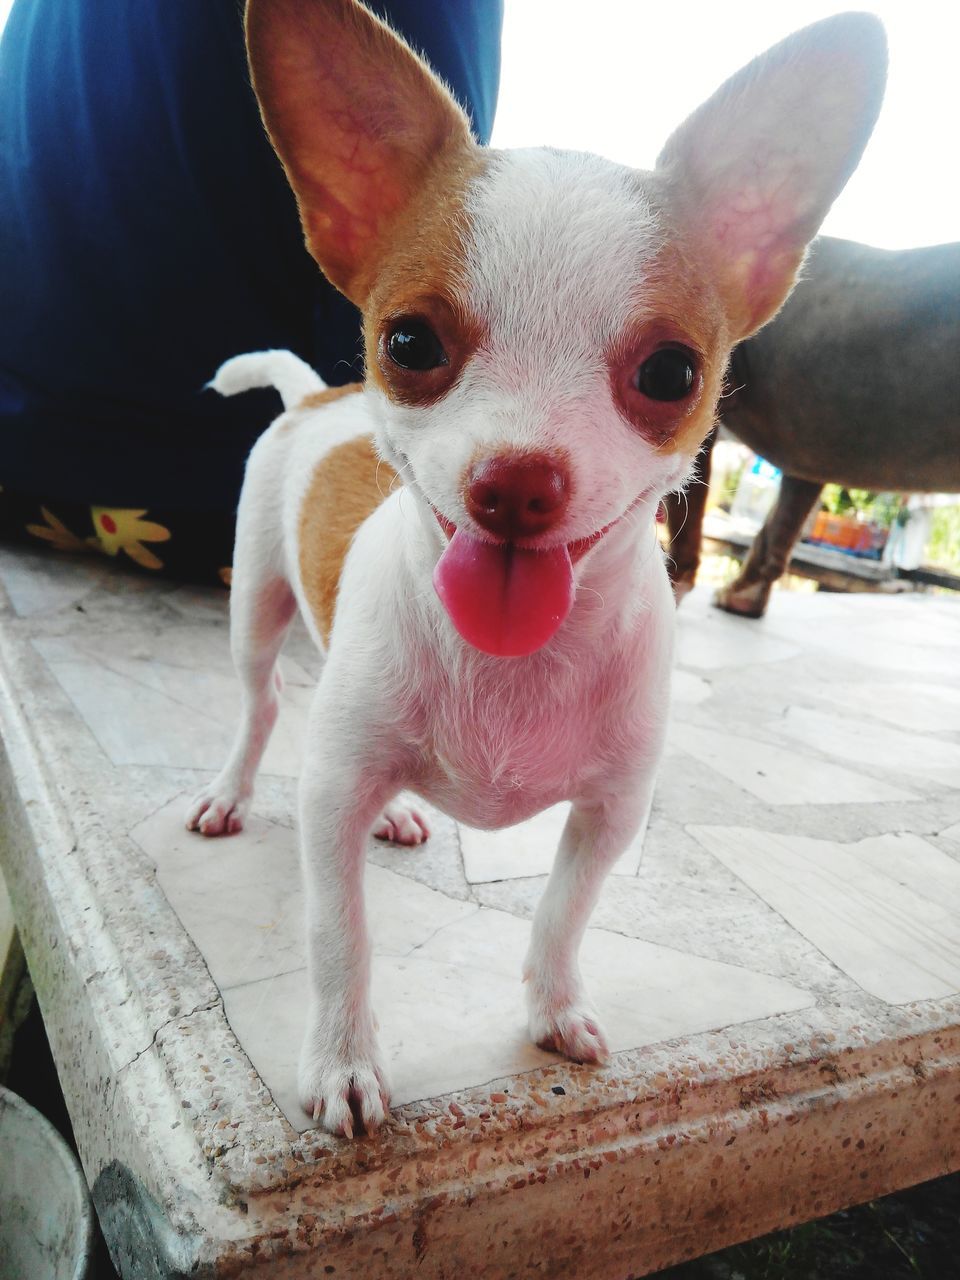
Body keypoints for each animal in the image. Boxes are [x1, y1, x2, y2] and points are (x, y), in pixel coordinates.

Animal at [185, 0, 885, 1141]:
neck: (512, 660)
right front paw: (342, 1058)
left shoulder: (610, 815)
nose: (516, 481)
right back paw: (229, 791)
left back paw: (398, 810)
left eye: (671, 373)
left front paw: (554, 1008)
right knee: (256, 710)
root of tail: (311, 397)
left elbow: (564, 910)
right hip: (255, 610)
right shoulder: (329, 800)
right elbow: (341, 937)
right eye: (410, 341)